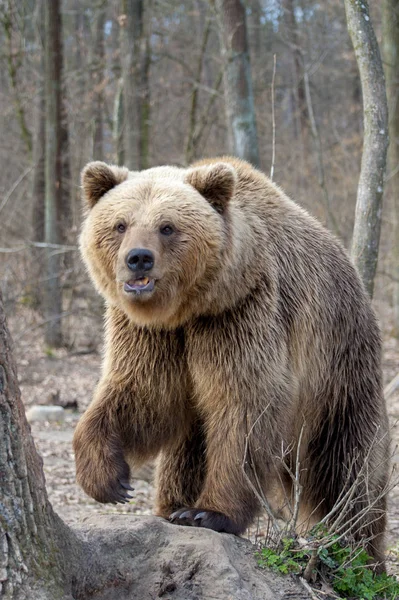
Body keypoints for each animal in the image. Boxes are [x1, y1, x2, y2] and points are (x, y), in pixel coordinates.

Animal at [74, 155, 390, 568]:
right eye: (120, 224)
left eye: (167, 226)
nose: (138, 259)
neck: (190, 308)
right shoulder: (153, 334)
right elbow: (142, 393)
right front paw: (109, 478)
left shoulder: (241, 314)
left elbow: (243, 407)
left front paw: (210, 512)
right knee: (191, 440)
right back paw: (173, 505)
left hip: (340, 370)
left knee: (348, 464)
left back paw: (358, 548)